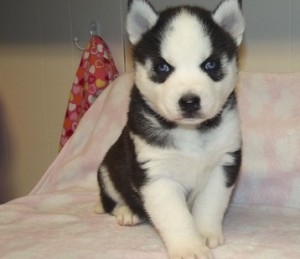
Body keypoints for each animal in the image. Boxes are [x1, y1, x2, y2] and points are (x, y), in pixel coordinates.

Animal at [97, 0, 245, 258]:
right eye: (163, 67)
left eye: (211, 64)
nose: (189, 101)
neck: (190, 132)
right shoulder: (156, 174)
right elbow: (176, 217)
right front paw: (189, 247)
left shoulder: (224, 161)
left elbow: (210, 204)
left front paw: (205, 234)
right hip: (107, 169)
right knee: (111, 200)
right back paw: (127, 211)